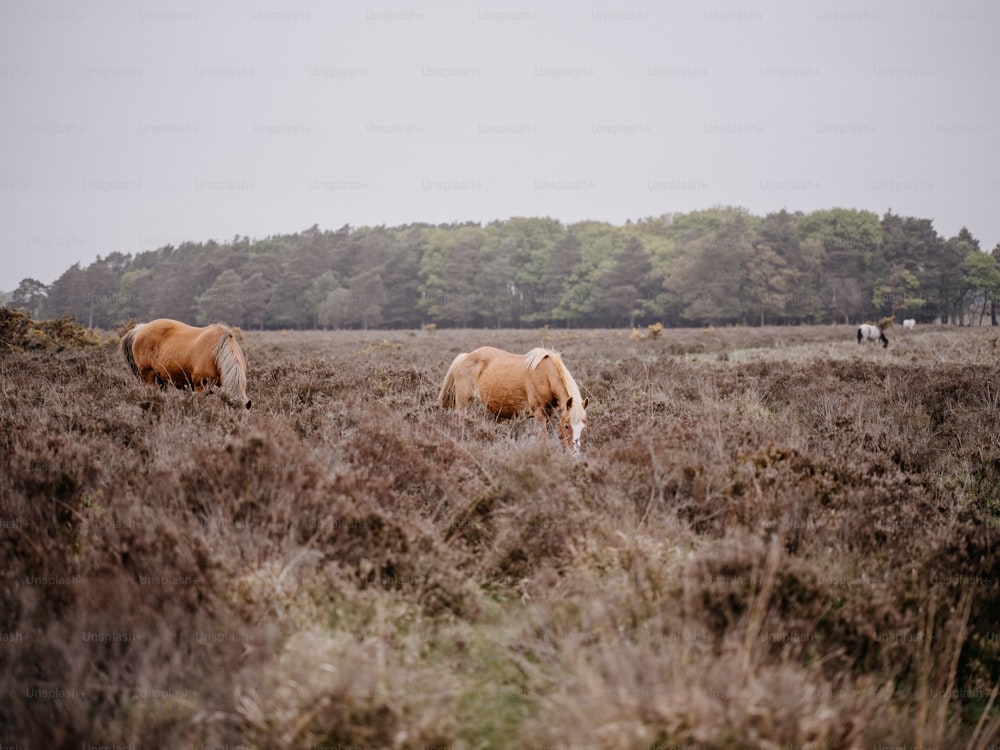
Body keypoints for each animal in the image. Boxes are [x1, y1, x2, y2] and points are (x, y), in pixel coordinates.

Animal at [436, 346, 584, 452]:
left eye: (583, 427)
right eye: (566, 426)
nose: (574, 454)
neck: (546, 376)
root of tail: (466, 356)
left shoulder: (548, 415)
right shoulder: (539, 415)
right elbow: (542, 439)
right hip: (463, 402)